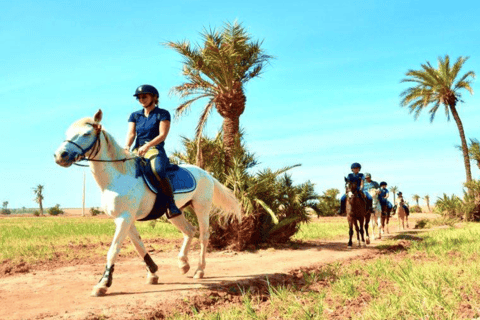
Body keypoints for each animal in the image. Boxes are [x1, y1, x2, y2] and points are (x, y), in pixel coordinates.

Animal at [54, 110, 242, 298]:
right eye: (67, 133)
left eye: (86, 134)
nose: (60, 156)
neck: (118, 178)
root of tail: (206, 173)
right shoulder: (124, 220)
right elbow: (139, 245)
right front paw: (153, 273)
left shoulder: (124, 218)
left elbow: (113, 250)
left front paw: (103, 284)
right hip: (174, 212)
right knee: (189, 231)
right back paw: (183, 264)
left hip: (201, 208)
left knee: (203, 236)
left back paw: (199, 270)